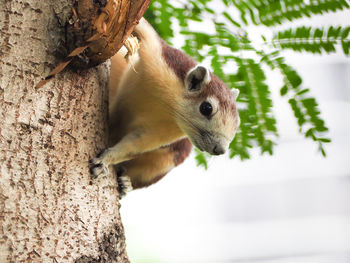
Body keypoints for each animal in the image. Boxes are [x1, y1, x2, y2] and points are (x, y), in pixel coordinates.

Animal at [89, 18, 239, 198]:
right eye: (207, 108)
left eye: (237, 123)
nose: (220, 150)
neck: (167, 106)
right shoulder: (158, 56)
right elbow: (145, 30)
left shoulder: (158, 134)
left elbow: (133, 147)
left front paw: (106, 160)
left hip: (166, 160)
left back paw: (125, 183)